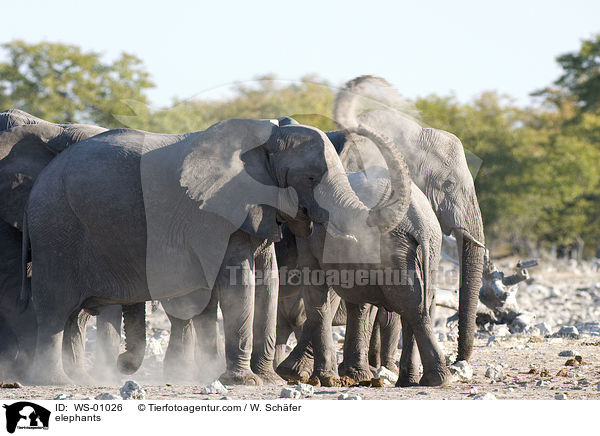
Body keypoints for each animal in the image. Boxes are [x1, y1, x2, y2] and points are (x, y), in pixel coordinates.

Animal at [19, 116, 408, 384]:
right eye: (311, 178)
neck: (266, 142)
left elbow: (267, 281)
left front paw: (268, 380)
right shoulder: (218, 213)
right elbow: (240, 284)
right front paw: (244, 382)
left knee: (73, 314)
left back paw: (80, 379)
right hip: (56, 229)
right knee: (55, 307)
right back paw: (56, 382)